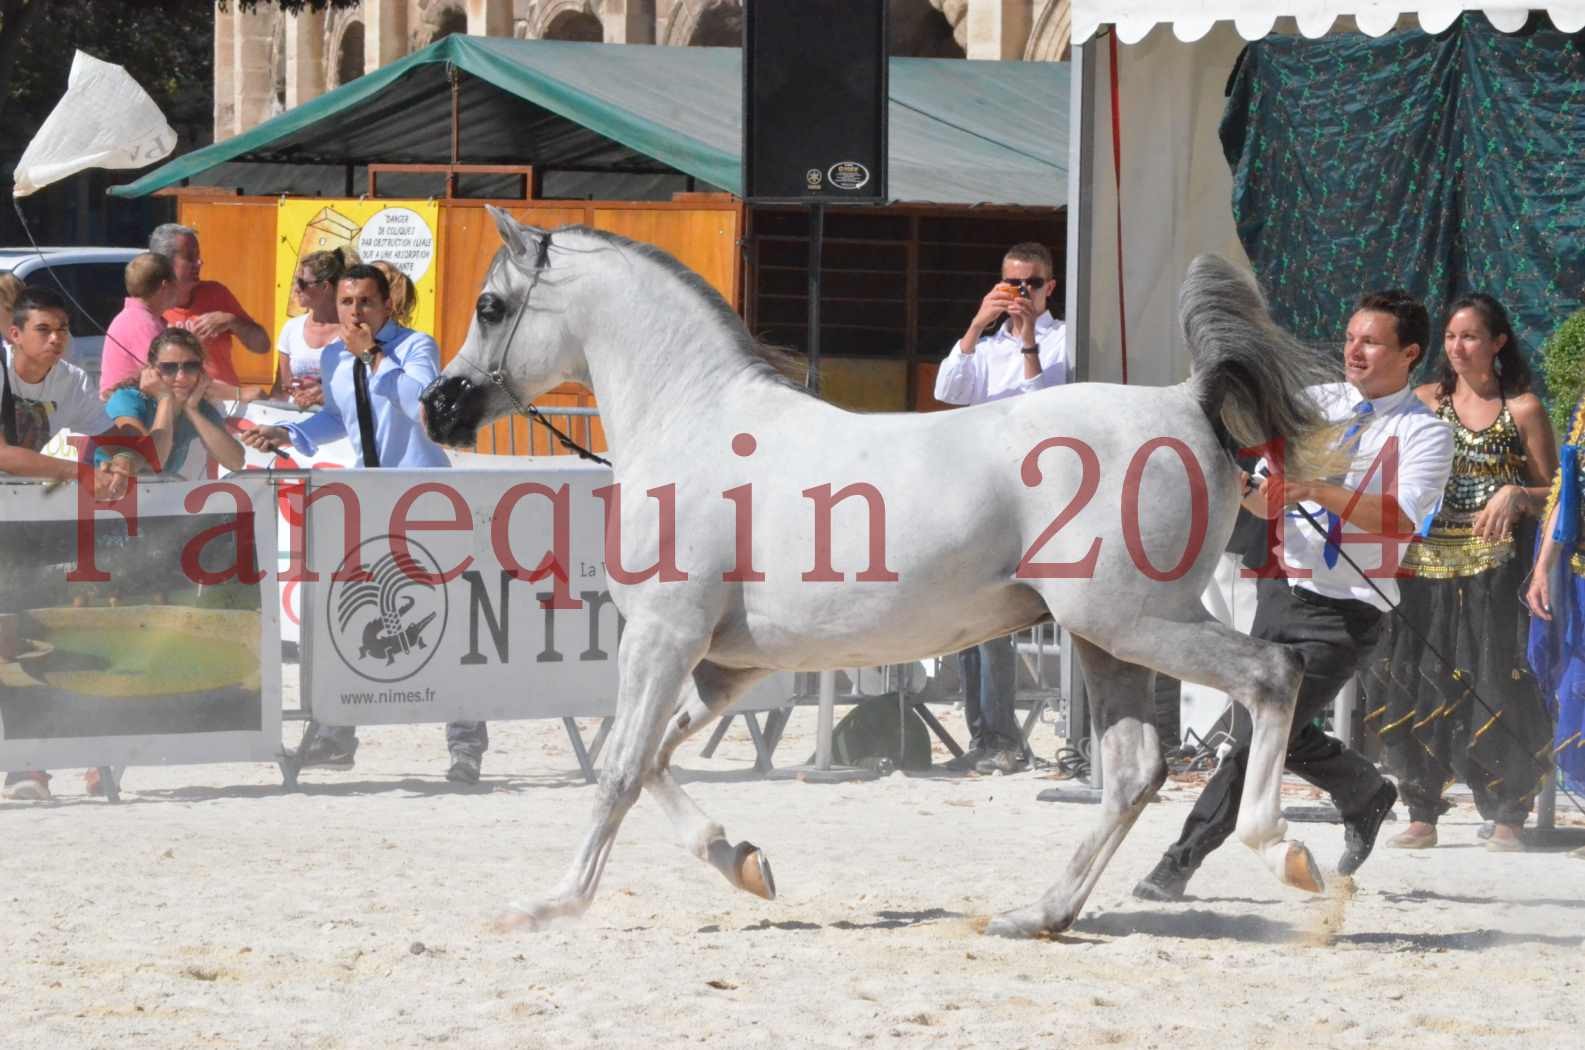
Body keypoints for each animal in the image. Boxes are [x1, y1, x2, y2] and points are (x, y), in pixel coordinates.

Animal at [421, 209, 1337, 938]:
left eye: (491, 306)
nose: (439, 406)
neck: (692, 423)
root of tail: (1184, 401)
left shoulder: (661, 637)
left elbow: (616, 770)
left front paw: (548, 905)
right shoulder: (724, 668)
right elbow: (645, 760)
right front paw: (742, 862)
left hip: (1137, 623)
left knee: (1271, 674)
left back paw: (1285, 851)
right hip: (1103, 640)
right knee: (1133, 772)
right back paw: (1036, 915)